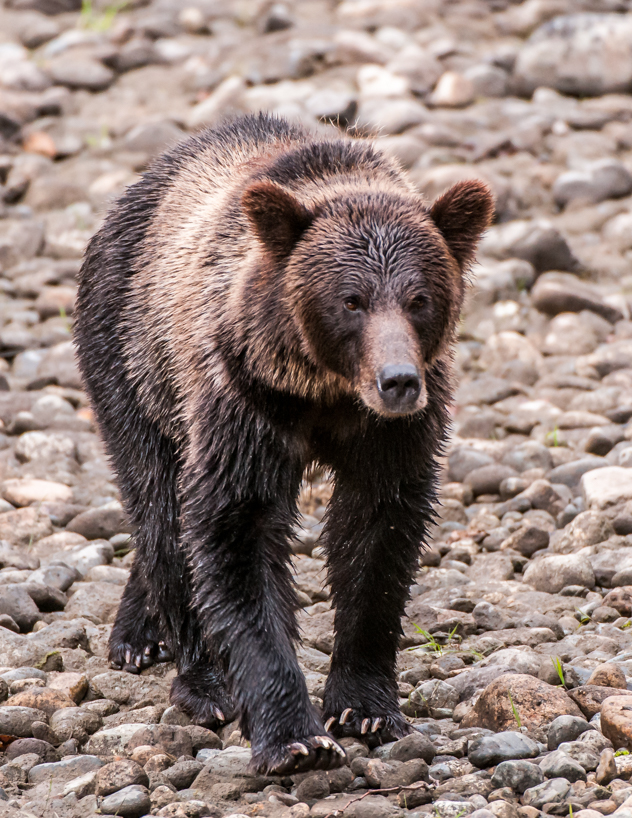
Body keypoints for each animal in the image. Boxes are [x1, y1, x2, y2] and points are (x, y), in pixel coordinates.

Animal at [74, 112, 494, 775]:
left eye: (420, 298)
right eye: (350, 300)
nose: (398, 380)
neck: (325, 393)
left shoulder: (391, 433)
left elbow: (378, 532)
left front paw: (366, 706)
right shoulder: (242, 400)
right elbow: (235, 532)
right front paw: (294, 737)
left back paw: (136, 631)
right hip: (132, 362)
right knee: (159, 504)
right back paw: (195, 676)